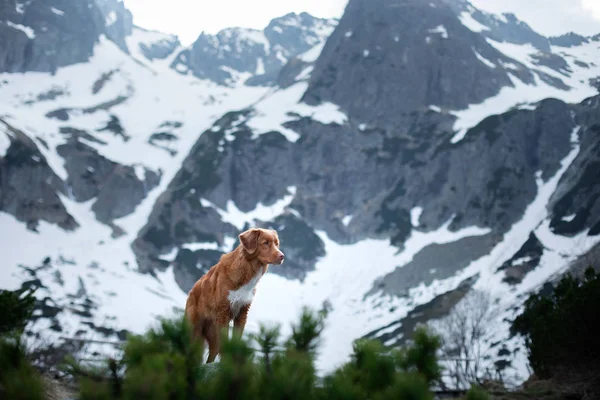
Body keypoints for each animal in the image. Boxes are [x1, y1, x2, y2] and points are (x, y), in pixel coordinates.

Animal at [184, 228, 284, 362]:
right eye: (265, 243)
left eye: (276, 244)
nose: (282, 256)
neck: (247, 271)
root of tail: (191, 292)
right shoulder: (223, 313)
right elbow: (225, 341)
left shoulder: (242, 312)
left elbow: (236, 338)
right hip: (194, 329)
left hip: (212, 333)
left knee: (212, 354)